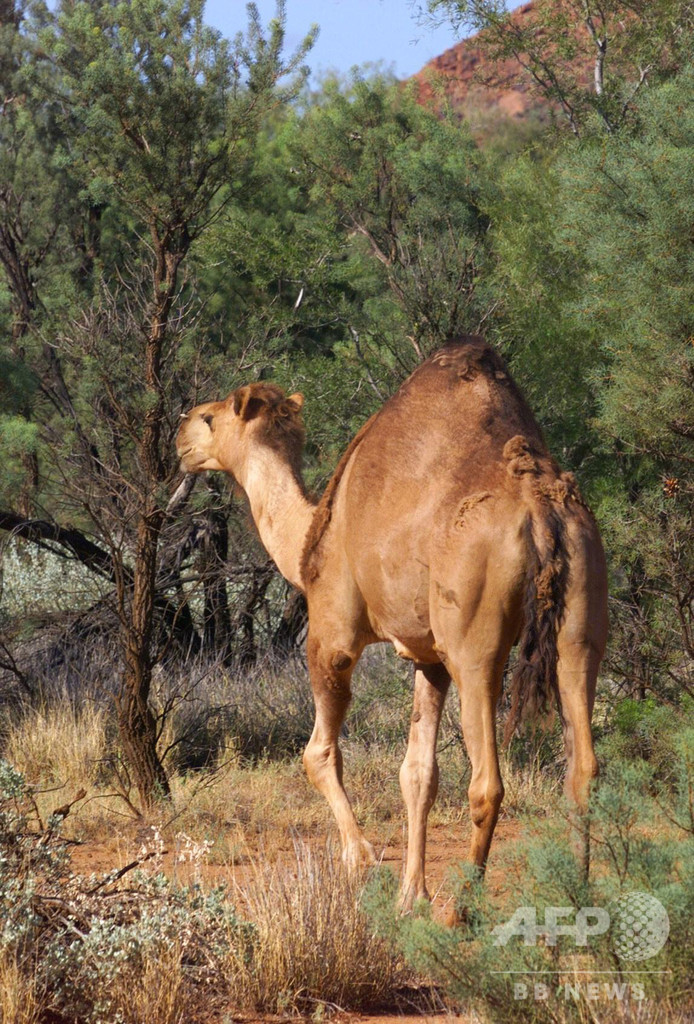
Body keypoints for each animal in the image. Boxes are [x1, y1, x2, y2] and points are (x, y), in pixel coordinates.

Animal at [177, 333, 605, 905]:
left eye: (209, 417)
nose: (180, 434)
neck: (308, 537)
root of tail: (542, 511)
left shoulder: (332, 631)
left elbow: (318, 753)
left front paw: (360, 860)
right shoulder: (429, 655)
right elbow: (418, 774)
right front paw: (410, 897)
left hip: (476, 645)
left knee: (487, 782)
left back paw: (460, 909)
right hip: (580, 618)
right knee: (583, 766)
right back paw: (576, 899)